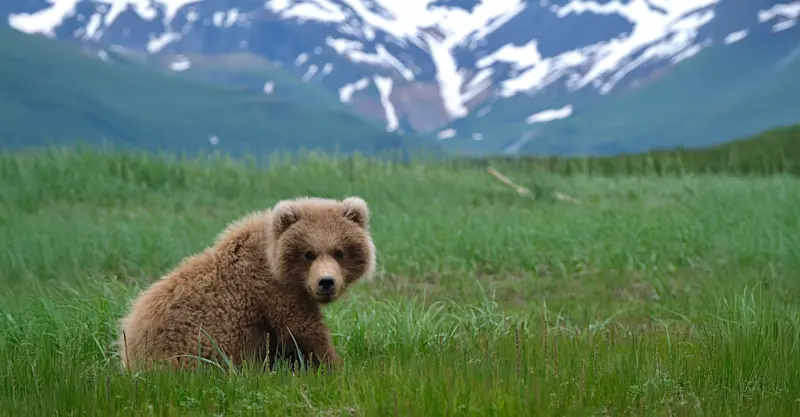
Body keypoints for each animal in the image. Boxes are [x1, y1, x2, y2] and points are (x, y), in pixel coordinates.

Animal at [114, 196, 377, 372]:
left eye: (339, 252)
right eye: (308, 253)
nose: (326, 282)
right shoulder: (274, 292)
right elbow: (303, 332)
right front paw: (336, 365)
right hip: (195, 350)